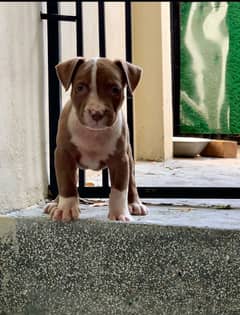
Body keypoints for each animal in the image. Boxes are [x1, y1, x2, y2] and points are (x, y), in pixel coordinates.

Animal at [44, 56, 147, 222]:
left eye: (115, 89)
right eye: (80, 88)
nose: (96, 113)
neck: (94, 133)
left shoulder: (120, 160)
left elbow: (120, 189)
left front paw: (119, 213)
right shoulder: (63, 155)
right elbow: (66, 183)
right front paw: (66, 209)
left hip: (129, 157)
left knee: (131, 180)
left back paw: (135, 204)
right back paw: (55, 204)